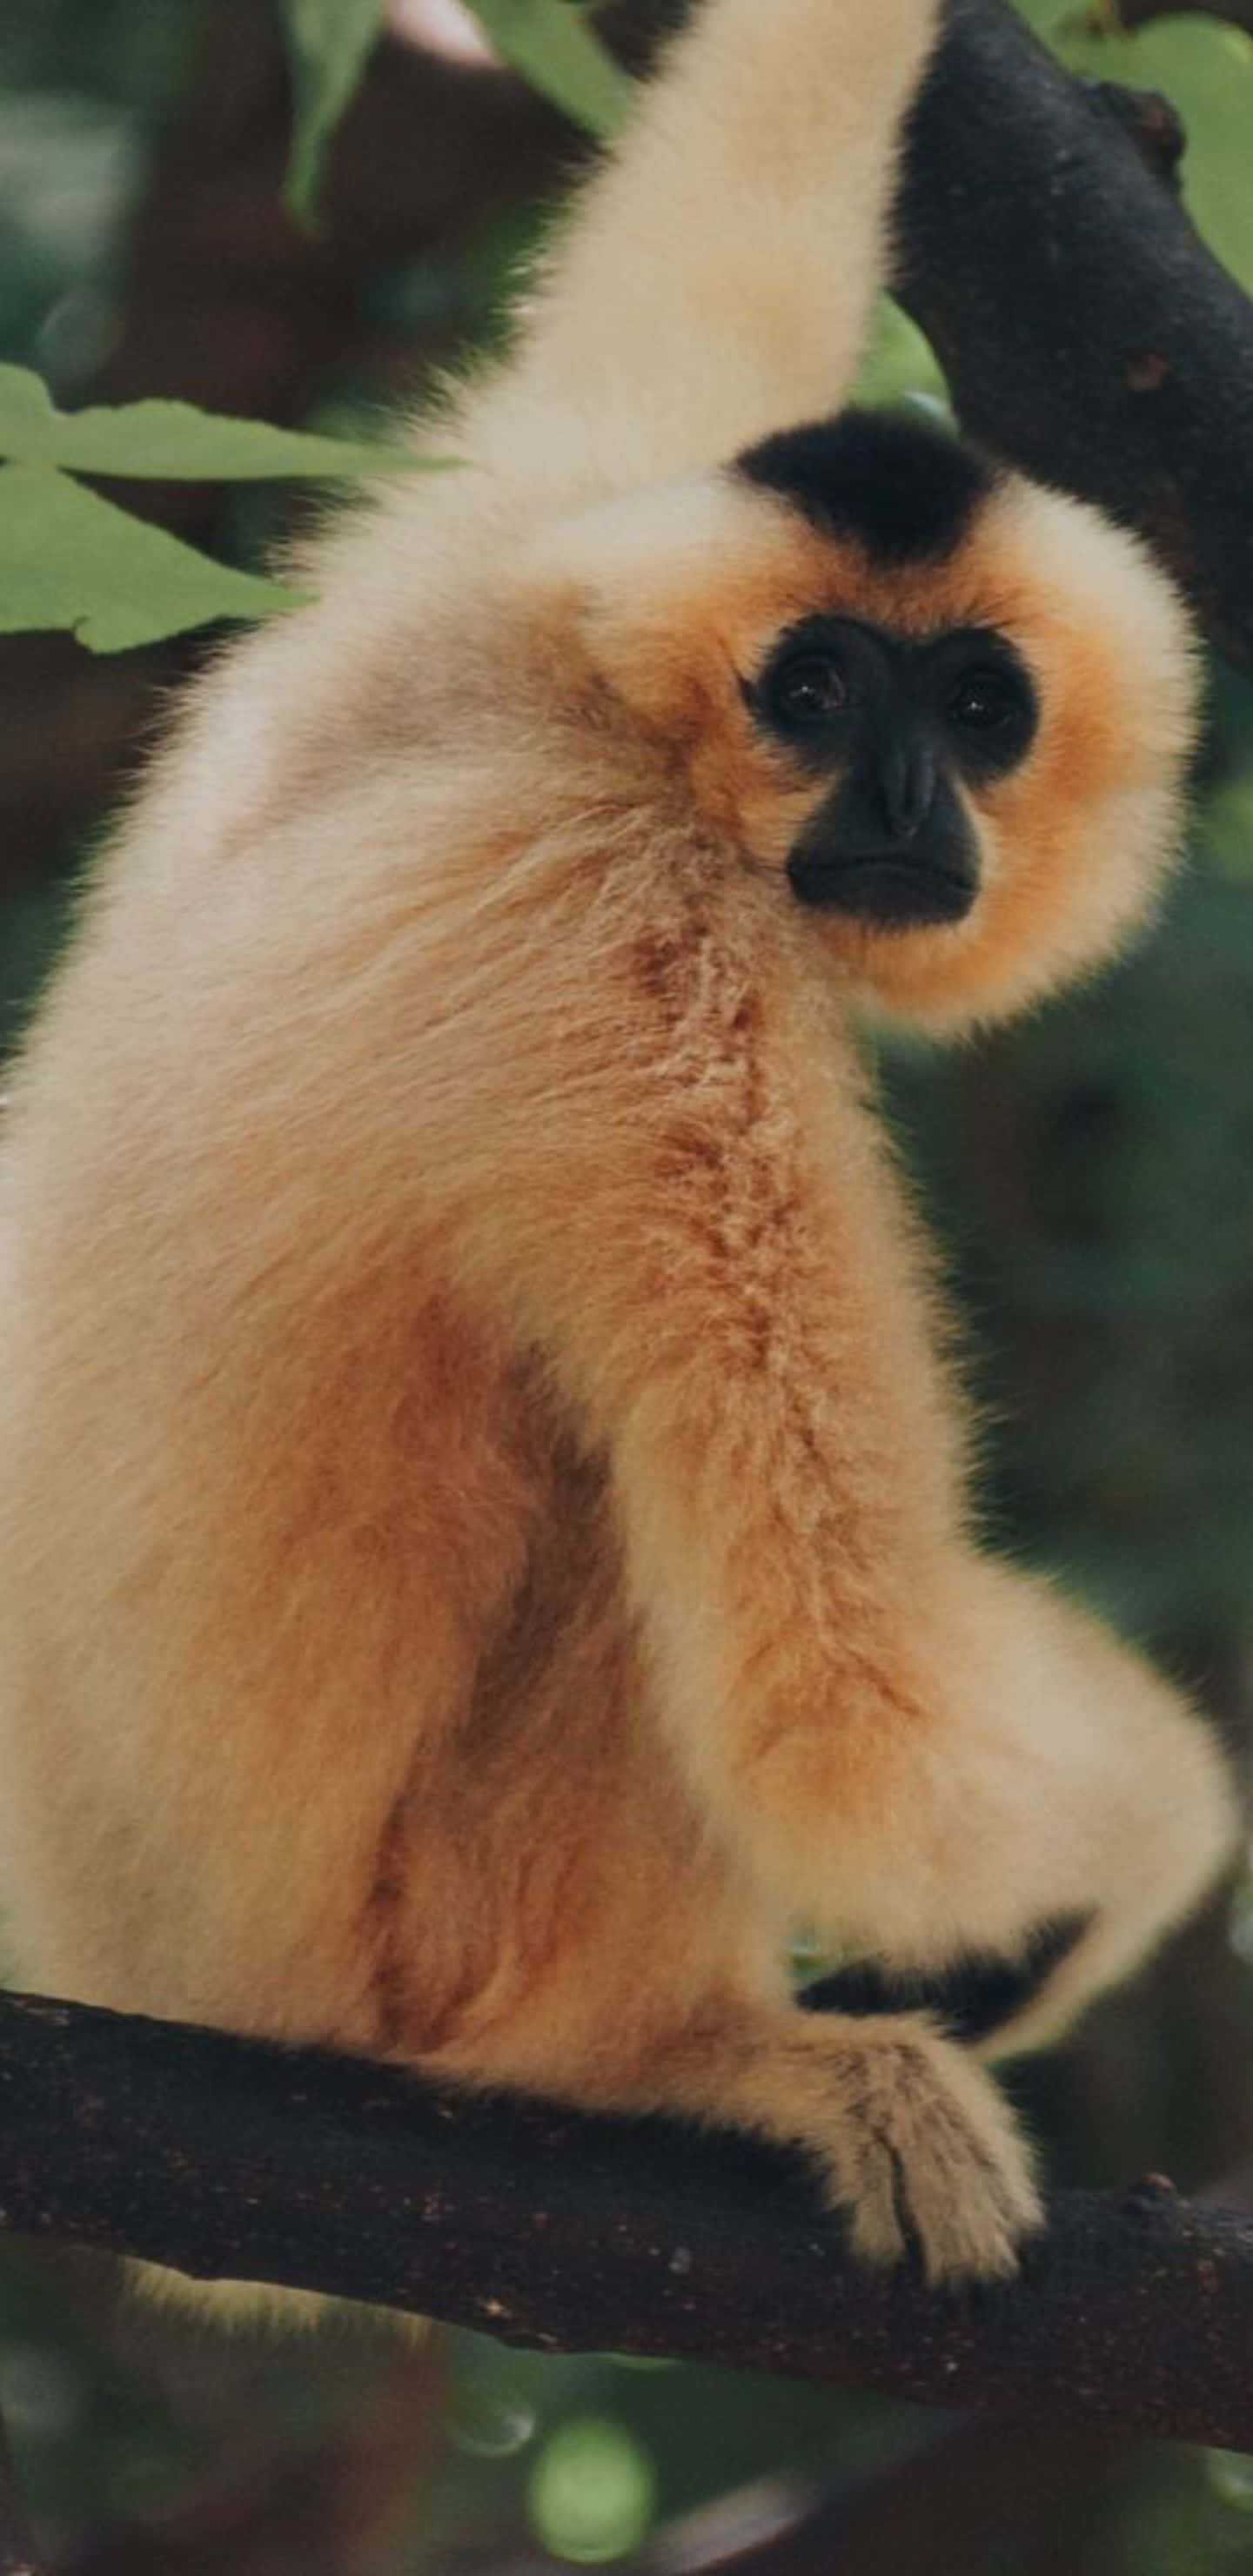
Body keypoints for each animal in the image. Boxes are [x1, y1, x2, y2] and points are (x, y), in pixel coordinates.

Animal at [0, 0, 1239, 2306]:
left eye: (978, 705)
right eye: (818, 687)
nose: (904, 796)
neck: (573, 721)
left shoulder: (507, 532)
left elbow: (712, 238)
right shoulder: (662, 978)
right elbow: (841, 1718)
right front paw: (1142, 1836)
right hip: (395, 1953)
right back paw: (679, 2054)